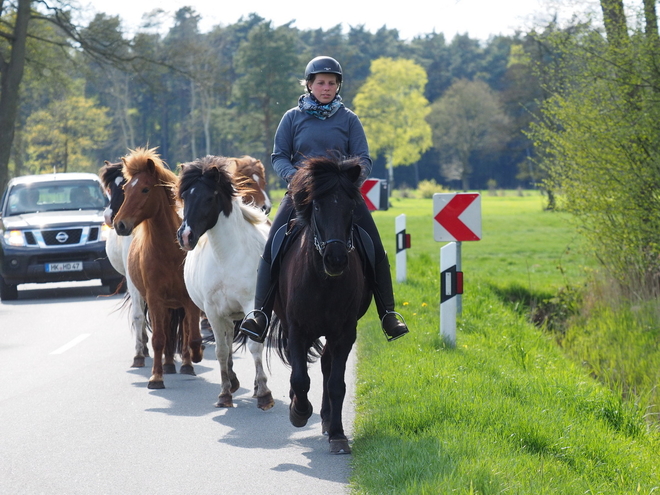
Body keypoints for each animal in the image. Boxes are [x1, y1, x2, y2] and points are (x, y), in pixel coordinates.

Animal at [113, 149, 202, 390]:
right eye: (125, 189)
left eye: (145, 189)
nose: (119, 224)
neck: (169, 253)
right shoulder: (154, 299)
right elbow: (158, 339)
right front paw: (156, 377)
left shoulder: (188, 300)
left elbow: (190, 334)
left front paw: (194, 357)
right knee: (166, 332)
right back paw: (169, 364)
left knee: (183, 330)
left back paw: (186, 364)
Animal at [270, 155, 372, 454]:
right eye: (317, 205)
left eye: (350, 207)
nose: (335, 260)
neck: (324, 281)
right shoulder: (297, 329)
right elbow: (300, 377)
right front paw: (299, 411)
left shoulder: (345, 332)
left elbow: (337, 382)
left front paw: (338, 434)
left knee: (326, 364)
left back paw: (327, 418)